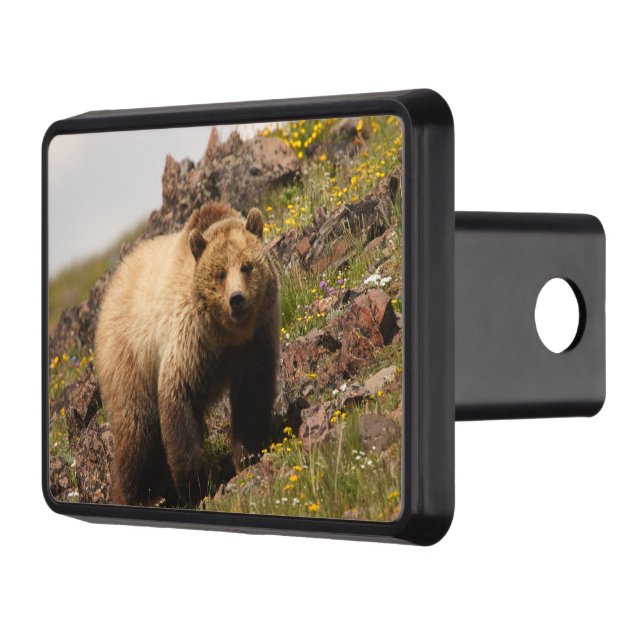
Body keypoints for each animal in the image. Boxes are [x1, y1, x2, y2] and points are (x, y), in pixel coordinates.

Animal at [94, 202, 280, 507]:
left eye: (246, 266)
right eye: (220, 273)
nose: (237, 299)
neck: (227, 333)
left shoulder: (255, 341)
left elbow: (251, 394)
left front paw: (248, 454)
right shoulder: (190, 339)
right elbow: (178, 396)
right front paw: (194, 486)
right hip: (127, 354)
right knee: (137, 428)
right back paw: (134, 494)